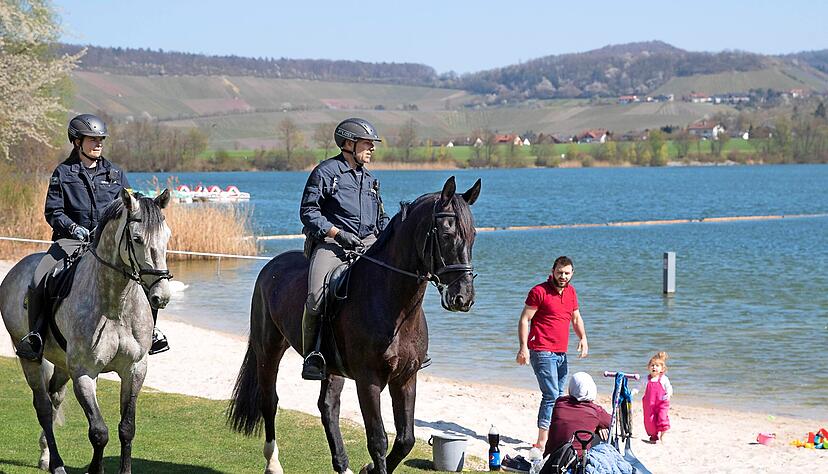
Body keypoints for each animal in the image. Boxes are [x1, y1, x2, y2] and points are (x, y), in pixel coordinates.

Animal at [0, 189, 173, 474]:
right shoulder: (84, 373)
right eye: (137, 239)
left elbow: (127, 428)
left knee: (55, 397)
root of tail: (17, 267)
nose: (162, 296)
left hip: (62, 364)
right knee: (43, 407)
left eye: (167, 236)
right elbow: (99, 432)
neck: (115, 304)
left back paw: (46, 456)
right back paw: (57, 463)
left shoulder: (135, 369)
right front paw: (95, 469)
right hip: (31, 358)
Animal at [228, 176, 481, 474]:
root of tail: (272, 266)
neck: (391, 303)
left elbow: (405, 439)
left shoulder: (406, 377)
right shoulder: (368, 380)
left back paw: (342, 464)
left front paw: (367, 468)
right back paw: (273, 463)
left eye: (473, 235)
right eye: (446, 234)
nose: (463, 298)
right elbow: (378, 440)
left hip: (330, 367)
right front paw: (372, 466)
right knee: (270, 401)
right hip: (268, 350)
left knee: (328, 407)